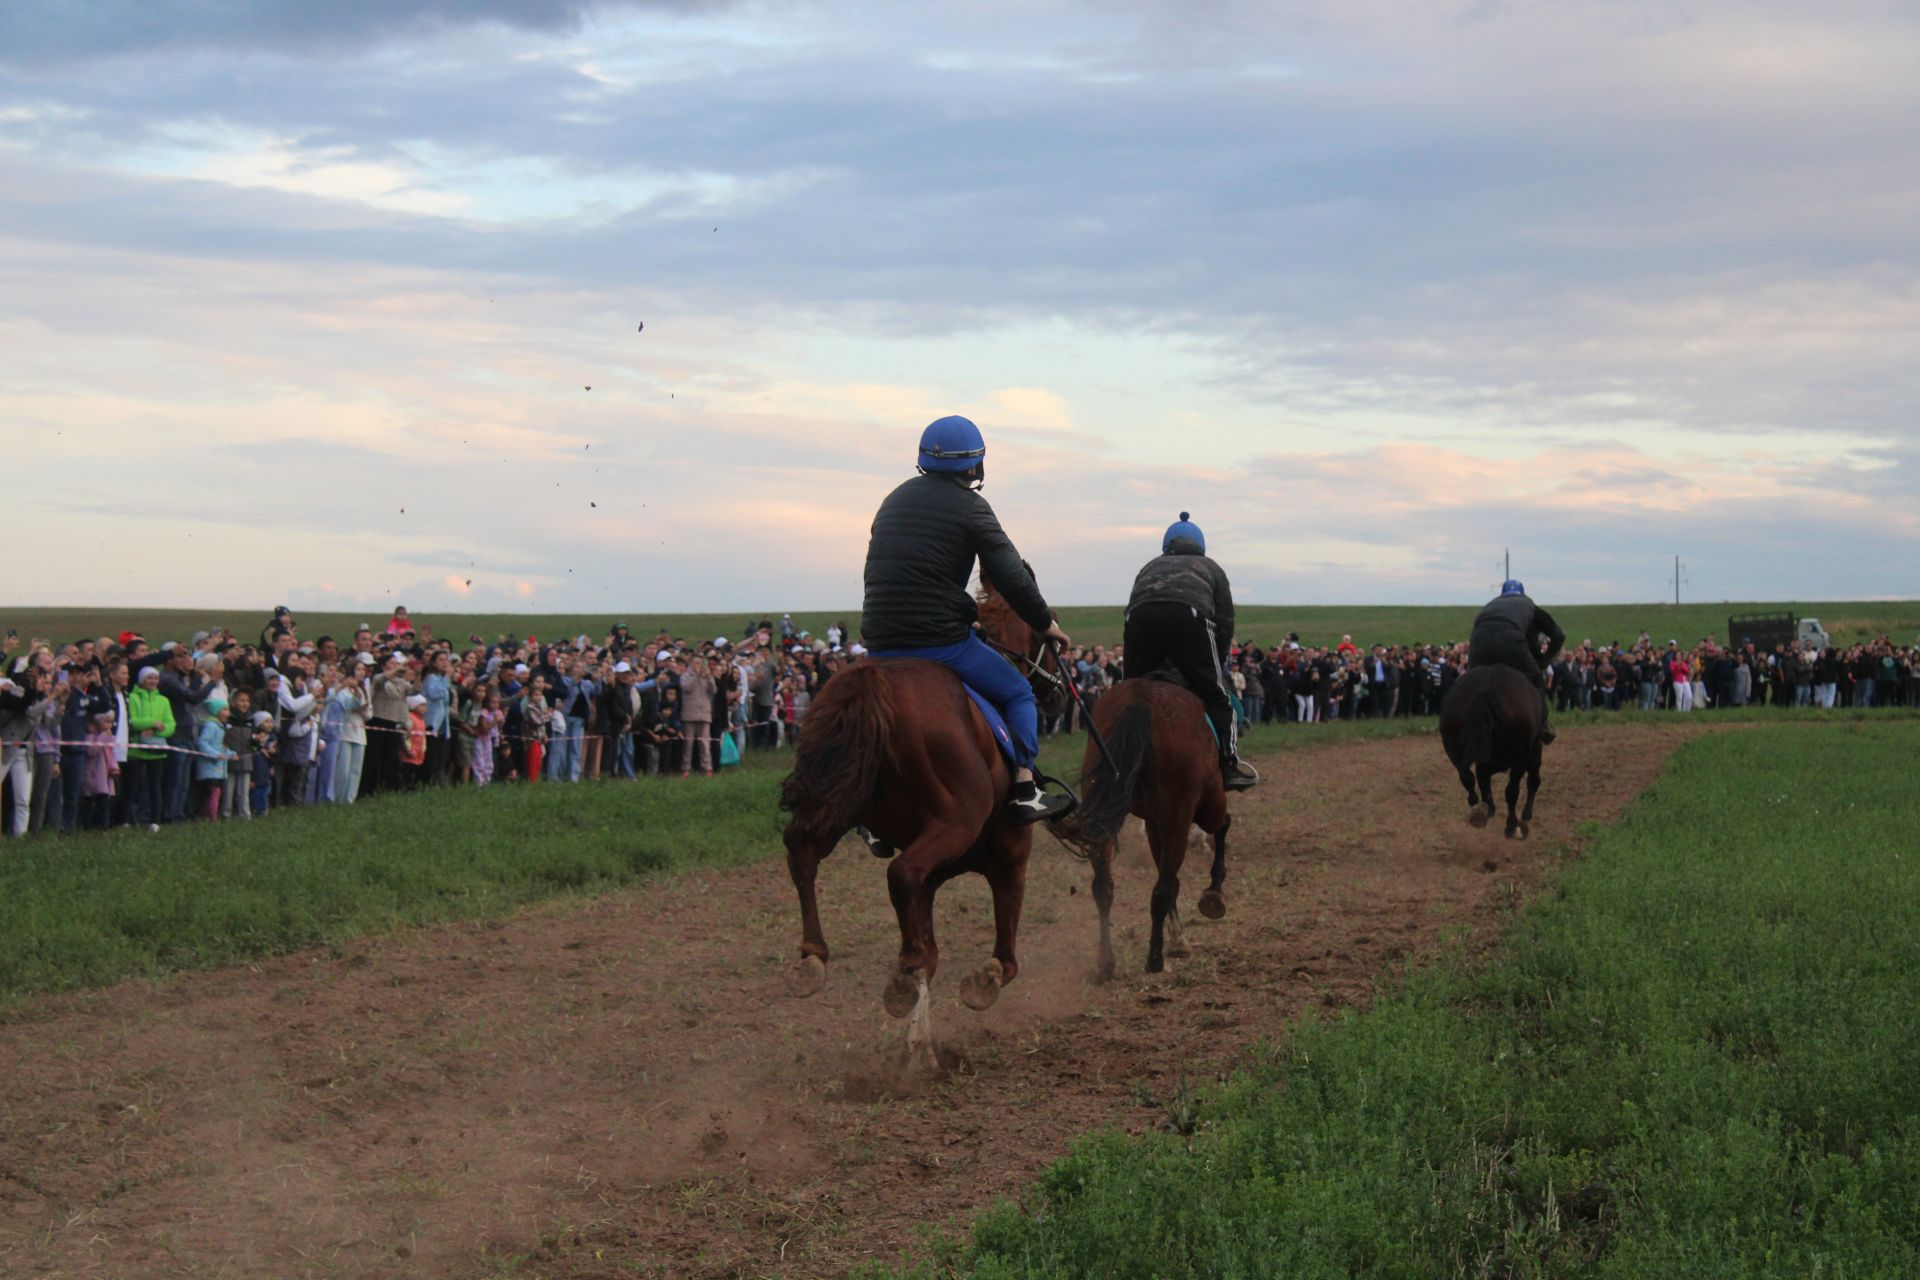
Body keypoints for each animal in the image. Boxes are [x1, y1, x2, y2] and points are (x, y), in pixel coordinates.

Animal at [787, 575, 1075, 1066]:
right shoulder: (1011, 858)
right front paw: (983, 981)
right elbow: (1005, 953)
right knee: (897, 873)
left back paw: (813, 957)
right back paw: (892, 977)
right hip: (951, 825)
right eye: (1048, 630)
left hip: (836, 800)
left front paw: (919, 1052)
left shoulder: (933, 876)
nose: (1056, 691)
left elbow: (929, 953)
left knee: (802, 848)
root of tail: (876, 680)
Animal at [1052, 679, 1228, 982]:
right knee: (1161, 889)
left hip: (1105, 815)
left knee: (1104, 887)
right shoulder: (1204, 806)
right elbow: (1222, 826)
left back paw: (1105, 962)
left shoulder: (1155, 823)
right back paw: (1155, 959)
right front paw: (1213, 895)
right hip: (1182, 814)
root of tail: (1141, 700)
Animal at [1443, 667, 1543, 844]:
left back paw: (1477, 810)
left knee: (1467, 776)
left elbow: (1482, 777)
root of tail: (1486, 693)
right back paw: (1512, 826)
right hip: (1520, 758)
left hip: (1453, 747)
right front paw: (1524, 816)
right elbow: (1531, 782)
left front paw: (1488, 808)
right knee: (1512, 790)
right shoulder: (1528, 755)